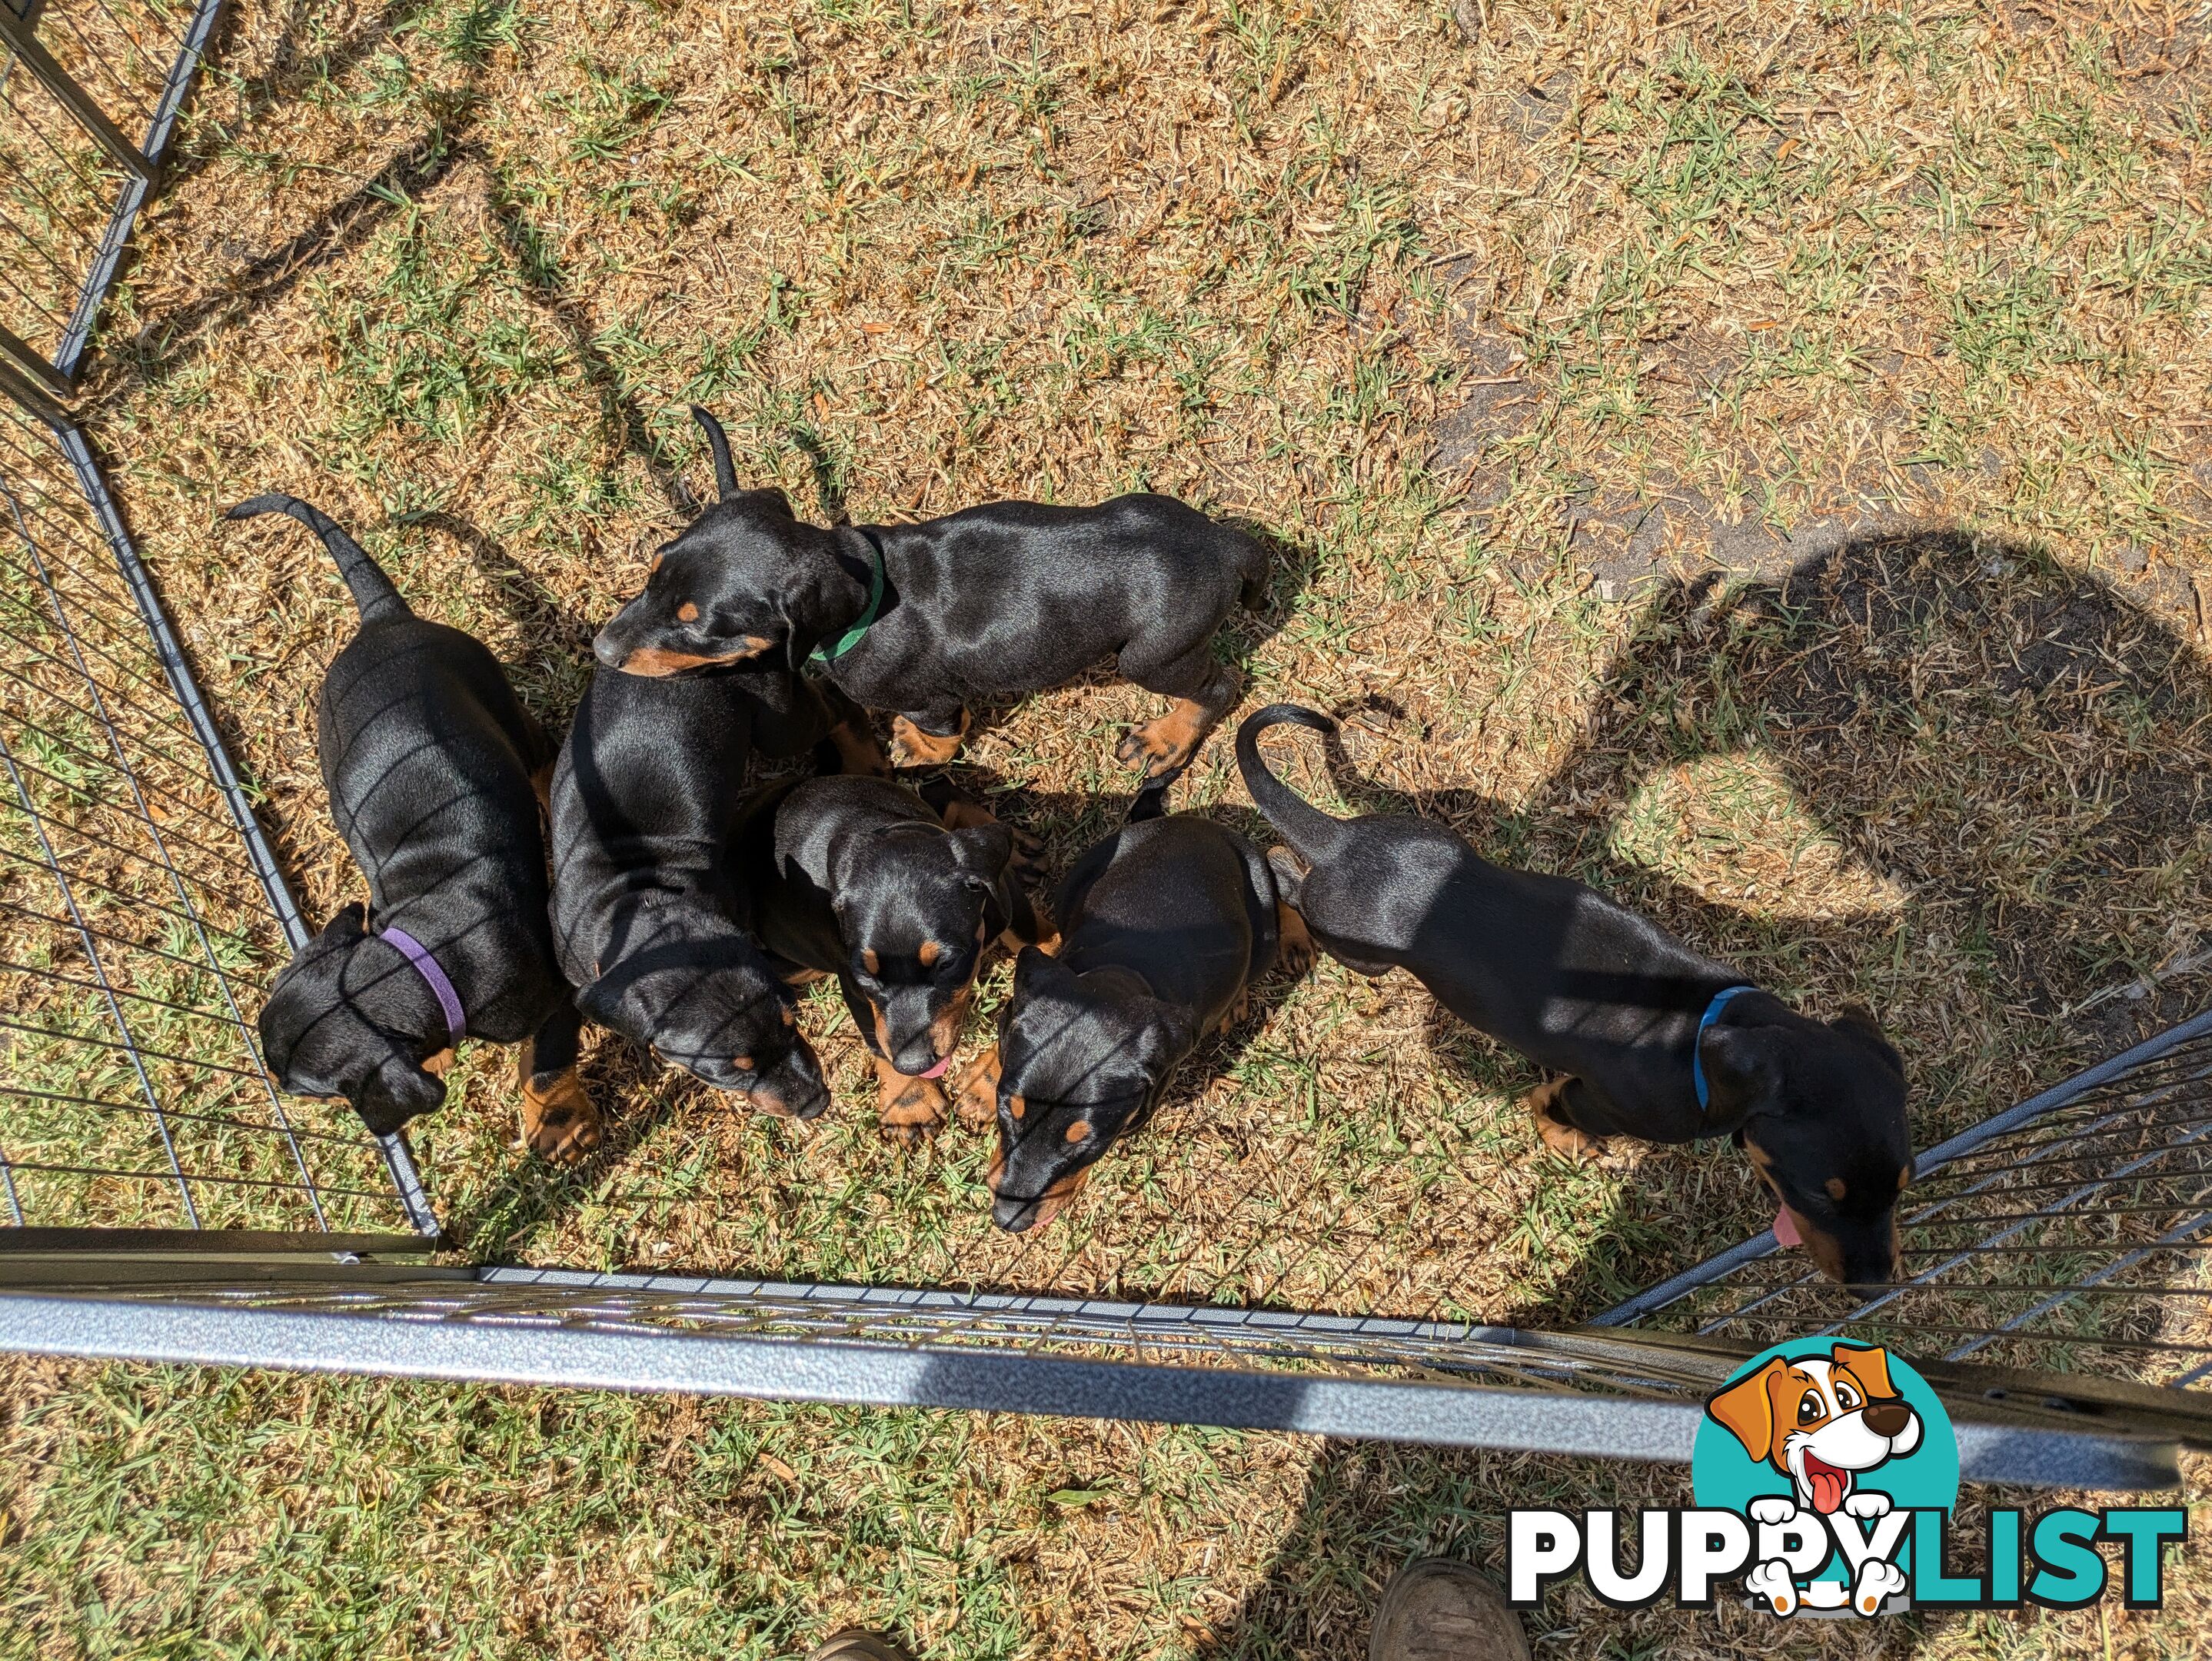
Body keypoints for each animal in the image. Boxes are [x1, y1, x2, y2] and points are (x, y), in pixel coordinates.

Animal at [231, 500, 588, 1159]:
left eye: (305, 1092)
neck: (425, 954)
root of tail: (383, 621)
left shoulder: (556, 995)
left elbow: (545, 1069)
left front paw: (562, 1125)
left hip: (499, 697)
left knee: (541, 758)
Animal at [597, 413, 1274, 783]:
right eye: (652, 572)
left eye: (700, 627)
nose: (601, 651)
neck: (867, 598)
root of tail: (1222, 544)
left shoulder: (934, 699)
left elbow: (943, 734)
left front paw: (918, 748)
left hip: (1151, 655)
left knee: (1217, 686)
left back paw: (1165, 742)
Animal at [730, 778, 1048, 1141]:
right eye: (866, 974)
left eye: (947, 964)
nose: (914, 1066)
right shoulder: (851, 980)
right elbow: (876, 1038)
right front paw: (909, 1103)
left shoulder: (1021, 921)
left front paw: (986, 1085)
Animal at [955, 796, 1309, 1238]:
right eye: (1009, 1109)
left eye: (1086, 1142)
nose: (1007, 1221)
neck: (1121, 970)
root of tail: (1198, 823)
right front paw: (982, 1082)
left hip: (1261, 928)